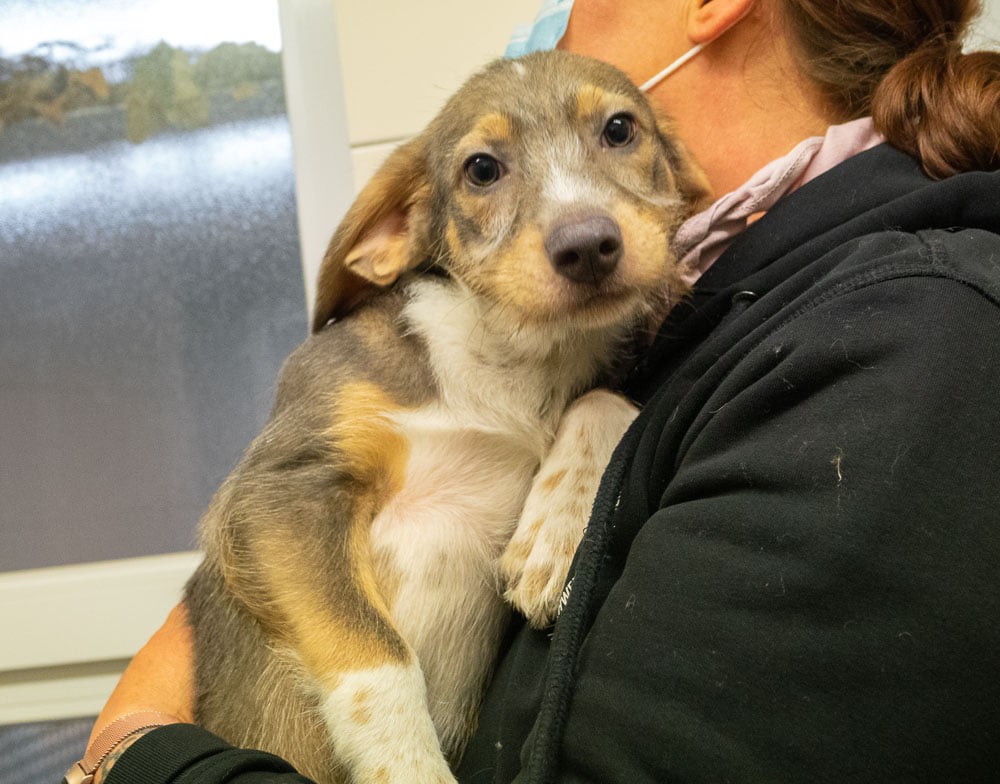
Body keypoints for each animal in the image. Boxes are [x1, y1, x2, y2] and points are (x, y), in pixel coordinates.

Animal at [184, 49, 708, 784]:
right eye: (481, 169)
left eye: (619, 129)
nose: (587, 246)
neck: (510, 357)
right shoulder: (279, 491)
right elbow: (376, 659)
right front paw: (412, 766)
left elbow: (604, 398)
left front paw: (554, 531)